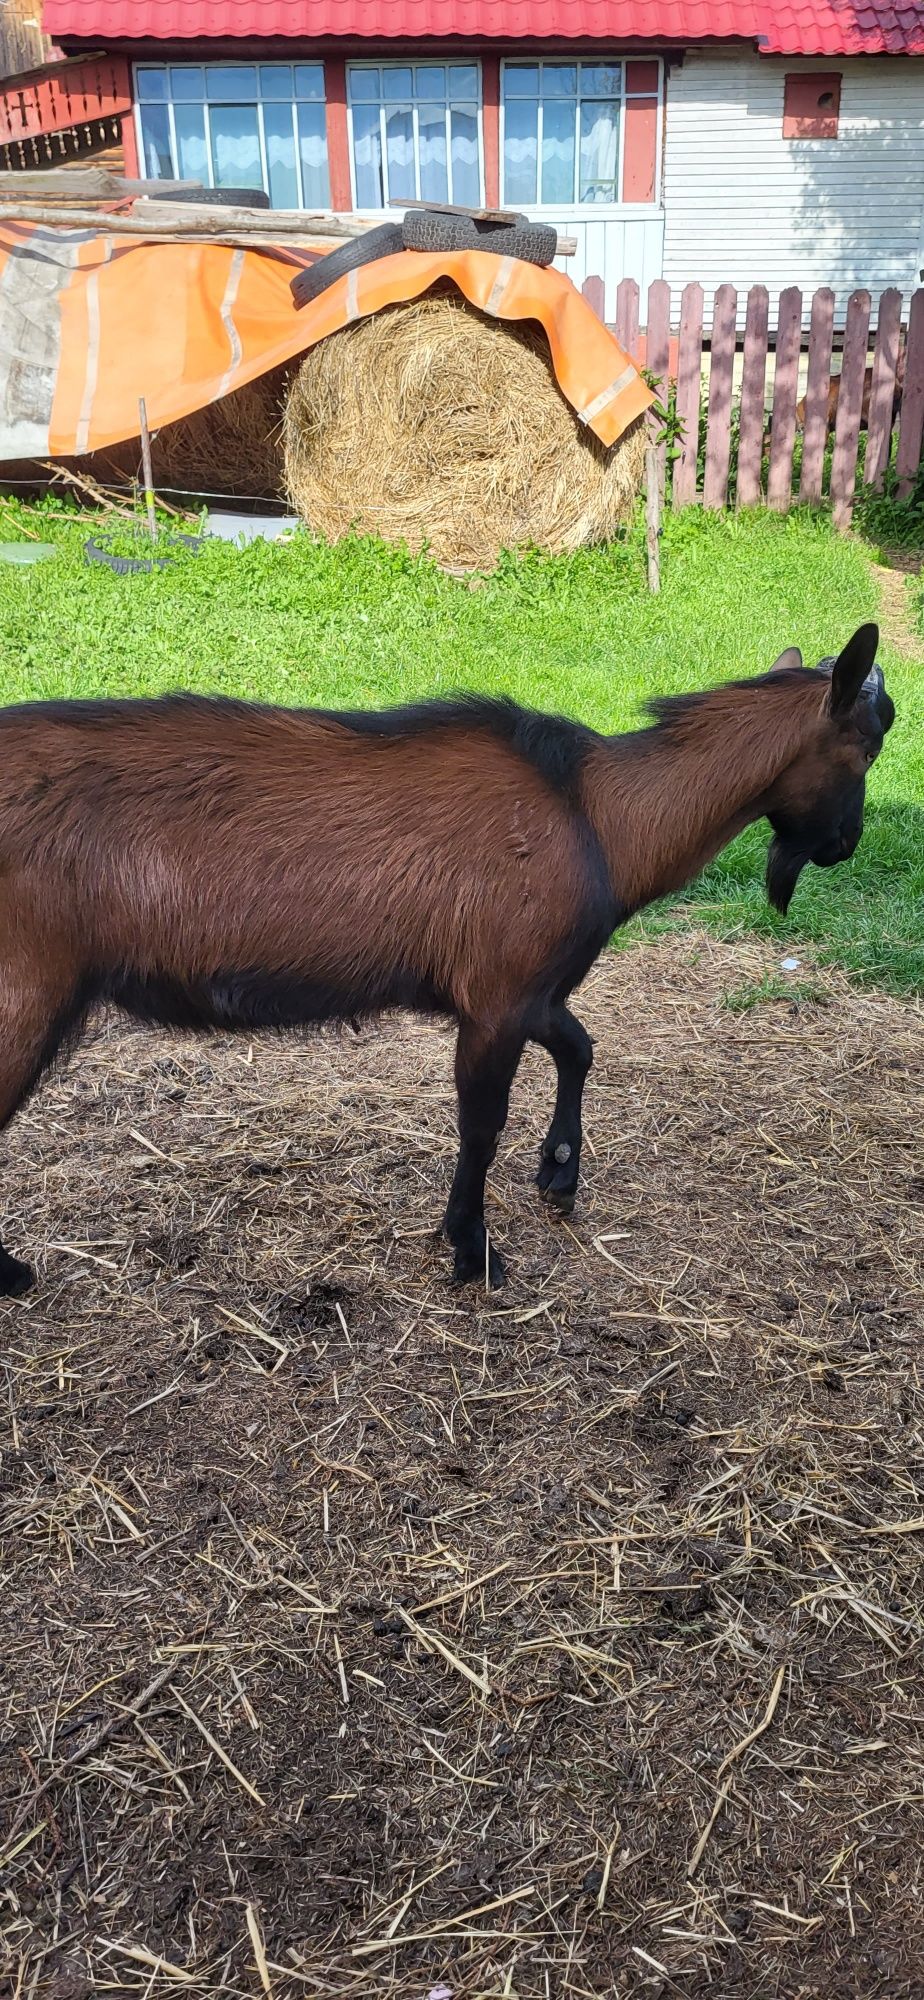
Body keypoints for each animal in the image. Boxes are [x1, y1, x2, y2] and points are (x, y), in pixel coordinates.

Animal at [0, 624, 892, 1296]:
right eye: (867, 746)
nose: (846, 846)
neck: (600, 815)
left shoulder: (529, 988)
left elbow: (580, 1047)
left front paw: (560, 1173)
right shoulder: (498, 995)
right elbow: (482, 1123)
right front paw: (472, 1248)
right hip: (25, 991)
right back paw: (13, 1273)